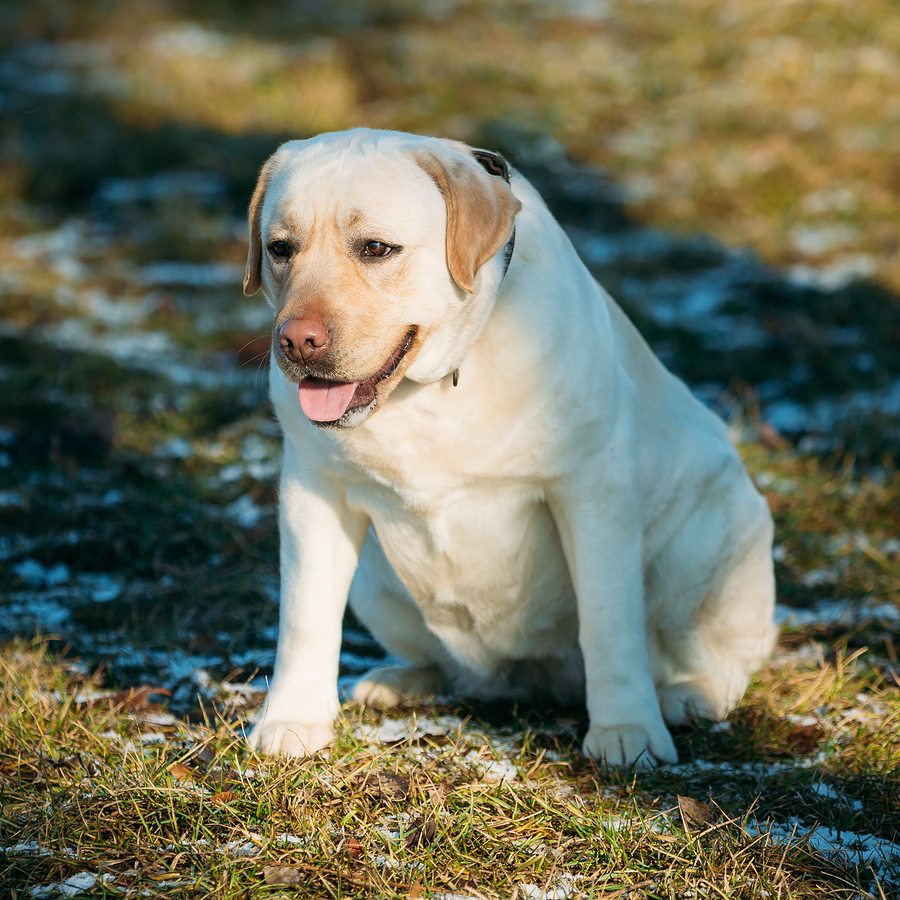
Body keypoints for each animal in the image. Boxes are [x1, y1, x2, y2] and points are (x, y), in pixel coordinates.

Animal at [243, 130, 776, 768]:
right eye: (280, 248)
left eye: (375, 248)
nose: (295, 341)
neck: (435, 385)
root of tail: (532, 681)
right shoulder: (314, 492)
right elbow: (305, 616)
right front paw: (293, 722)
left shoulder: (592, 492)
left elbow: (610, 623)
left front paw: (627, 731)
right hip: (376, 580)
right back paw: (401, 681)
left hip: (715, 536)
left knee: (721, 657)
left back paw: (689, 697)